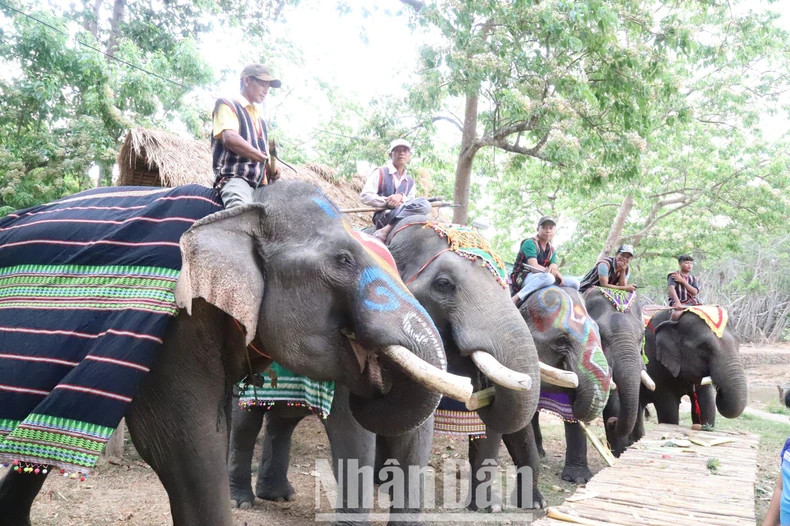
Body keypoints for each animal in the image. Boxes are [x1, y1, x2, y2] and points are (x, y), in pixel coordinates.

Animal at [227, 215, 553, 521]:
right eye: (443, 284)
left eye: (507, 284)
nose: (479, 391)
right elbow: (353, 428)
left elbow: (417, 435)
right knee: (246, 421)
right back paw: (241, 500)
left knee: (283, 417)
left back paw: (279, 495)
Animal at [633, 307, 746, 441]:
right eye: (704, 348)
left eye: (738, 342)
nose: (719, 391)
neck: (675, 319)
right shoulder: (654, 362)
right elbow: (668, 407)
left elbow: (707, 403)